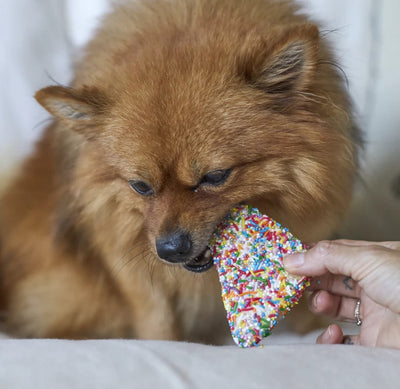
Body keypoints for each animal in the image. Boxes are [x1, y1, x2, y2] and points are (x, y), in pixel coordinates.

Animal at [0, 0, 360, 340]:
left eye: (215, 177)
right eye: (140, 186)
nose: (170, 249)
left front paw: (314, 325)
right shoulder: (124, 249)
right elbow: (155, 314)